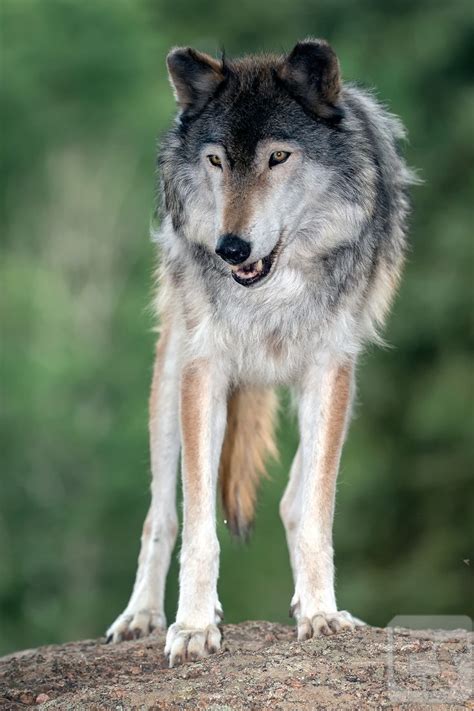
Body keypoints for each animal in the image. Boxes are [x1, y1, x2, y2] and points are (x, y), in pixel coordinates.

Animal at [105, 40, 412, 668]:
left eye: (278, 157)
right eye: (218, 161)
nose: (230, 248)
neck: (269, 292)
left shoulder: (330, 369)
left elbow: (316, 512)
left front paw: (320, 613)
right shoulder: (204, 370)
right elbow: (198, 526)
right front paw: (194, 626)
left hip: (342, 390)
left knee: (294, 501)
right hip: (168, 378)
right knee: (159, 515)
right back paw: (141, 616)